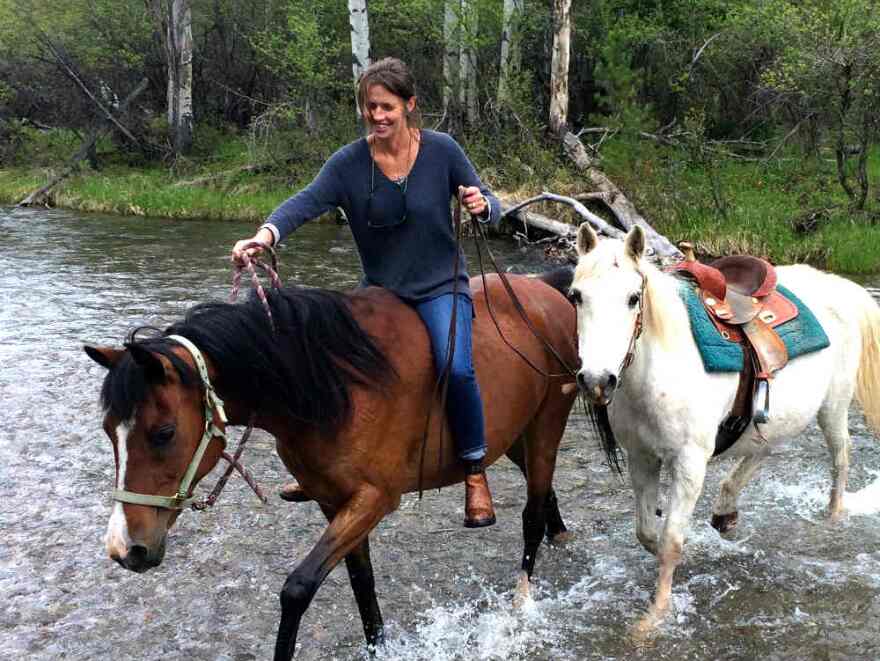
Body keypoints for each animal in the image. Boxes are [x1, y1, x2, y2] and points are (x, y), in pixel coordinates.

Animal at [86, 270, 584, 660]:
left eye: (163, 433)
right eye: (109, 430)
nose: (125, 549)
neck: (337, 386)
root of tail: (545, 291)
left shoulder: (373, 499)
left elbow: (298, 588)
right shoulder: (333, 501)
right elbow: (362, 583)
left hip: (545, 426)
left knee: (532, 514)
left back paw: (520, 604)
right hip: (515, 434)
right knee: (545, 495)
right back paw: (560, 533)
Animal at [568, 222, 880, 636]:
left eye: (634, 298)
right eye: (576, 296)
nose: (597, 380)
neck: (660, 369)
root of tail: (839, 286)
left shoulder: (689, 462)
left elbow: (670, 540)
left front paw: (655, 616)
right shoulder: (641, 457)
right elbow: (648, 533)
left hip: (834, 406)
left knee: (841, 457)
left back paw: (831, 517)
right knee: (764, 451)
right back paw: (726, 510)